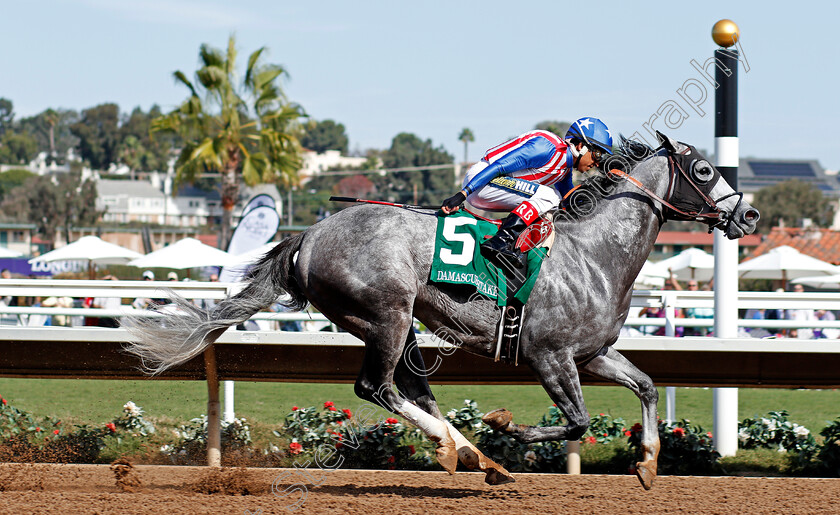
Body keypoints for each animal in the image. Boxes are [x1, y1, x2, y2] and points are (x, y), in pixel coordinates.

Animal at [126, 135, 760, 490]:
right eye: (705, 171)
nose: (749, 217)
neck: (595, 254)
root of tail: (309, 236)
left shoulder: (592, 353)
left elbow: (647, 385)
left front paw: (649, 464)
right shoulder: (550, 357)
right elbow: (577, 421)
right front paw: (505, 426)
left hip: (391, 323)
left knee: (411, 387)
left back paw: (476, 457)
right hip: (384, 313)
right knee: (377, 388)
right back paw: (464, 450)